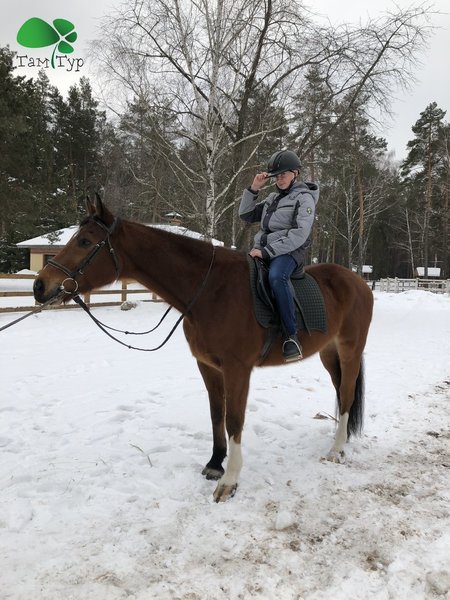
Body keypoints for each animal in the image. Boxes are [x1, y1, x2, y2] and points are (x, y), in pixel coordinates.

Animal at [33, 198, 374, 502]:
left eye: (85, 241)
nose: (39, 286)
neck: (210, 290)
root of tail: (358, 282)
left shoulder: (237, 370)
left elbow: (234, 419)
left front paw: (230, 481)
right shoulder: (208, 366)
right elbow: (216, 414)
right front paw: (214, 464)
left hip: (349, 350)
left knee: (346, 394)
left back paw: (336, 450)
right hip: (329, 353)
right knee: (341, 391)